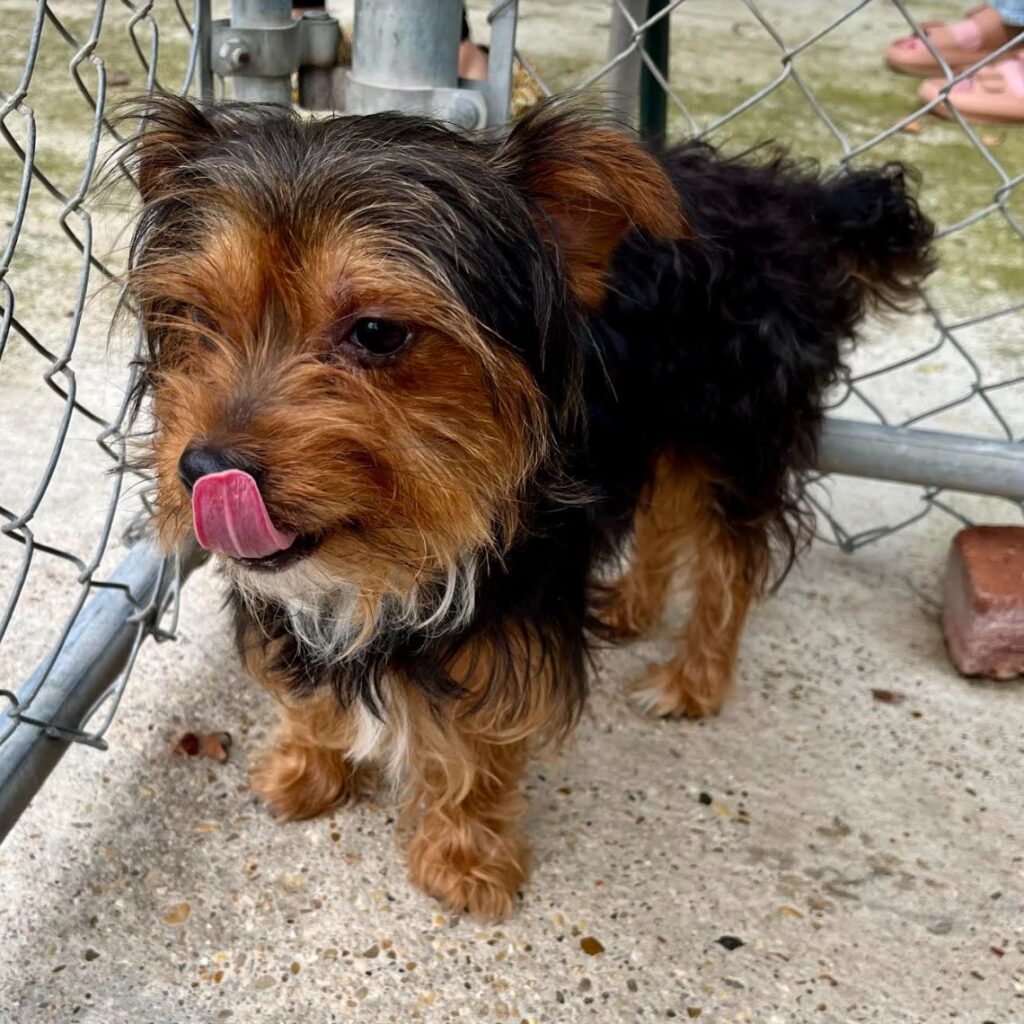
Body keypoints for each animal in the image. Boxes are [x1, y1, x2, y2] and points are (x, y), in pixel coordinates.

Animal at [123, 96, 933, 921]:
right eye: (196, 315)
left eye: (378, 332)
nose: (204, 469)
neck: (378, 567)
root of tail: (798, 202)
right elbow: (305, 689)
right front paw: (306, 767)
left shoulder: (517, 597)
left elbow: (477, 737)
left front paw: (465, 858)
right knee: (663, 517)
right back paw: (631, 607)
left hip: (735, 432)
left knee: (730, 560)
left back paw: (692, 681)